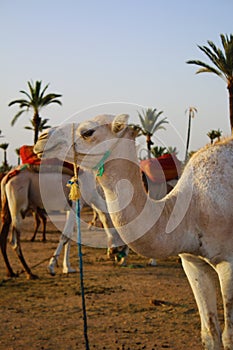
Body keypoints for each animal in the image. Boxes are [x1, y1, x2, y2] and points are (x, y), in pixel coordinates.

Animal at [34, 115, 233, 350]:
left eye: (88, 132)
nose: (42, 138)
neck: (194, 207)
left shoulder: (228, 263)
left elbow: (229, 337)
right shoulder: (193, 261)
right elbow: (210, 333)